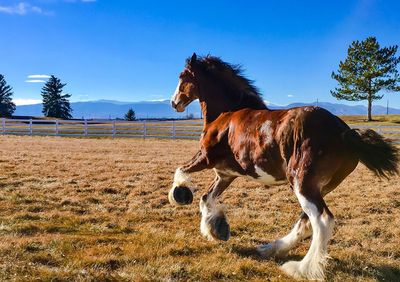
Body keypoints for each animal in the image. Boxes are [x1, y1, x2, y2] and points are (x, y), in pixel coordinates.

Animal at [166, 53, 396, 280]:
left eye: (182, 76)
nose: (174, 103)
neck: (227, 114)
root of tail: (344, 133)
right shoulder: (225, 174)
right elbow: (207, 198)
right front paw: (217, 230)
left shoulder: (206, 158)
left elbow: (181, 170)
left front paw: (180, 195)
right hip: (318, 187)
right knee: (306, 221)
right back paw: (270, 249)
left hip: (302, 183)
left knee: (321, 221)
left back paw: (302, 268)